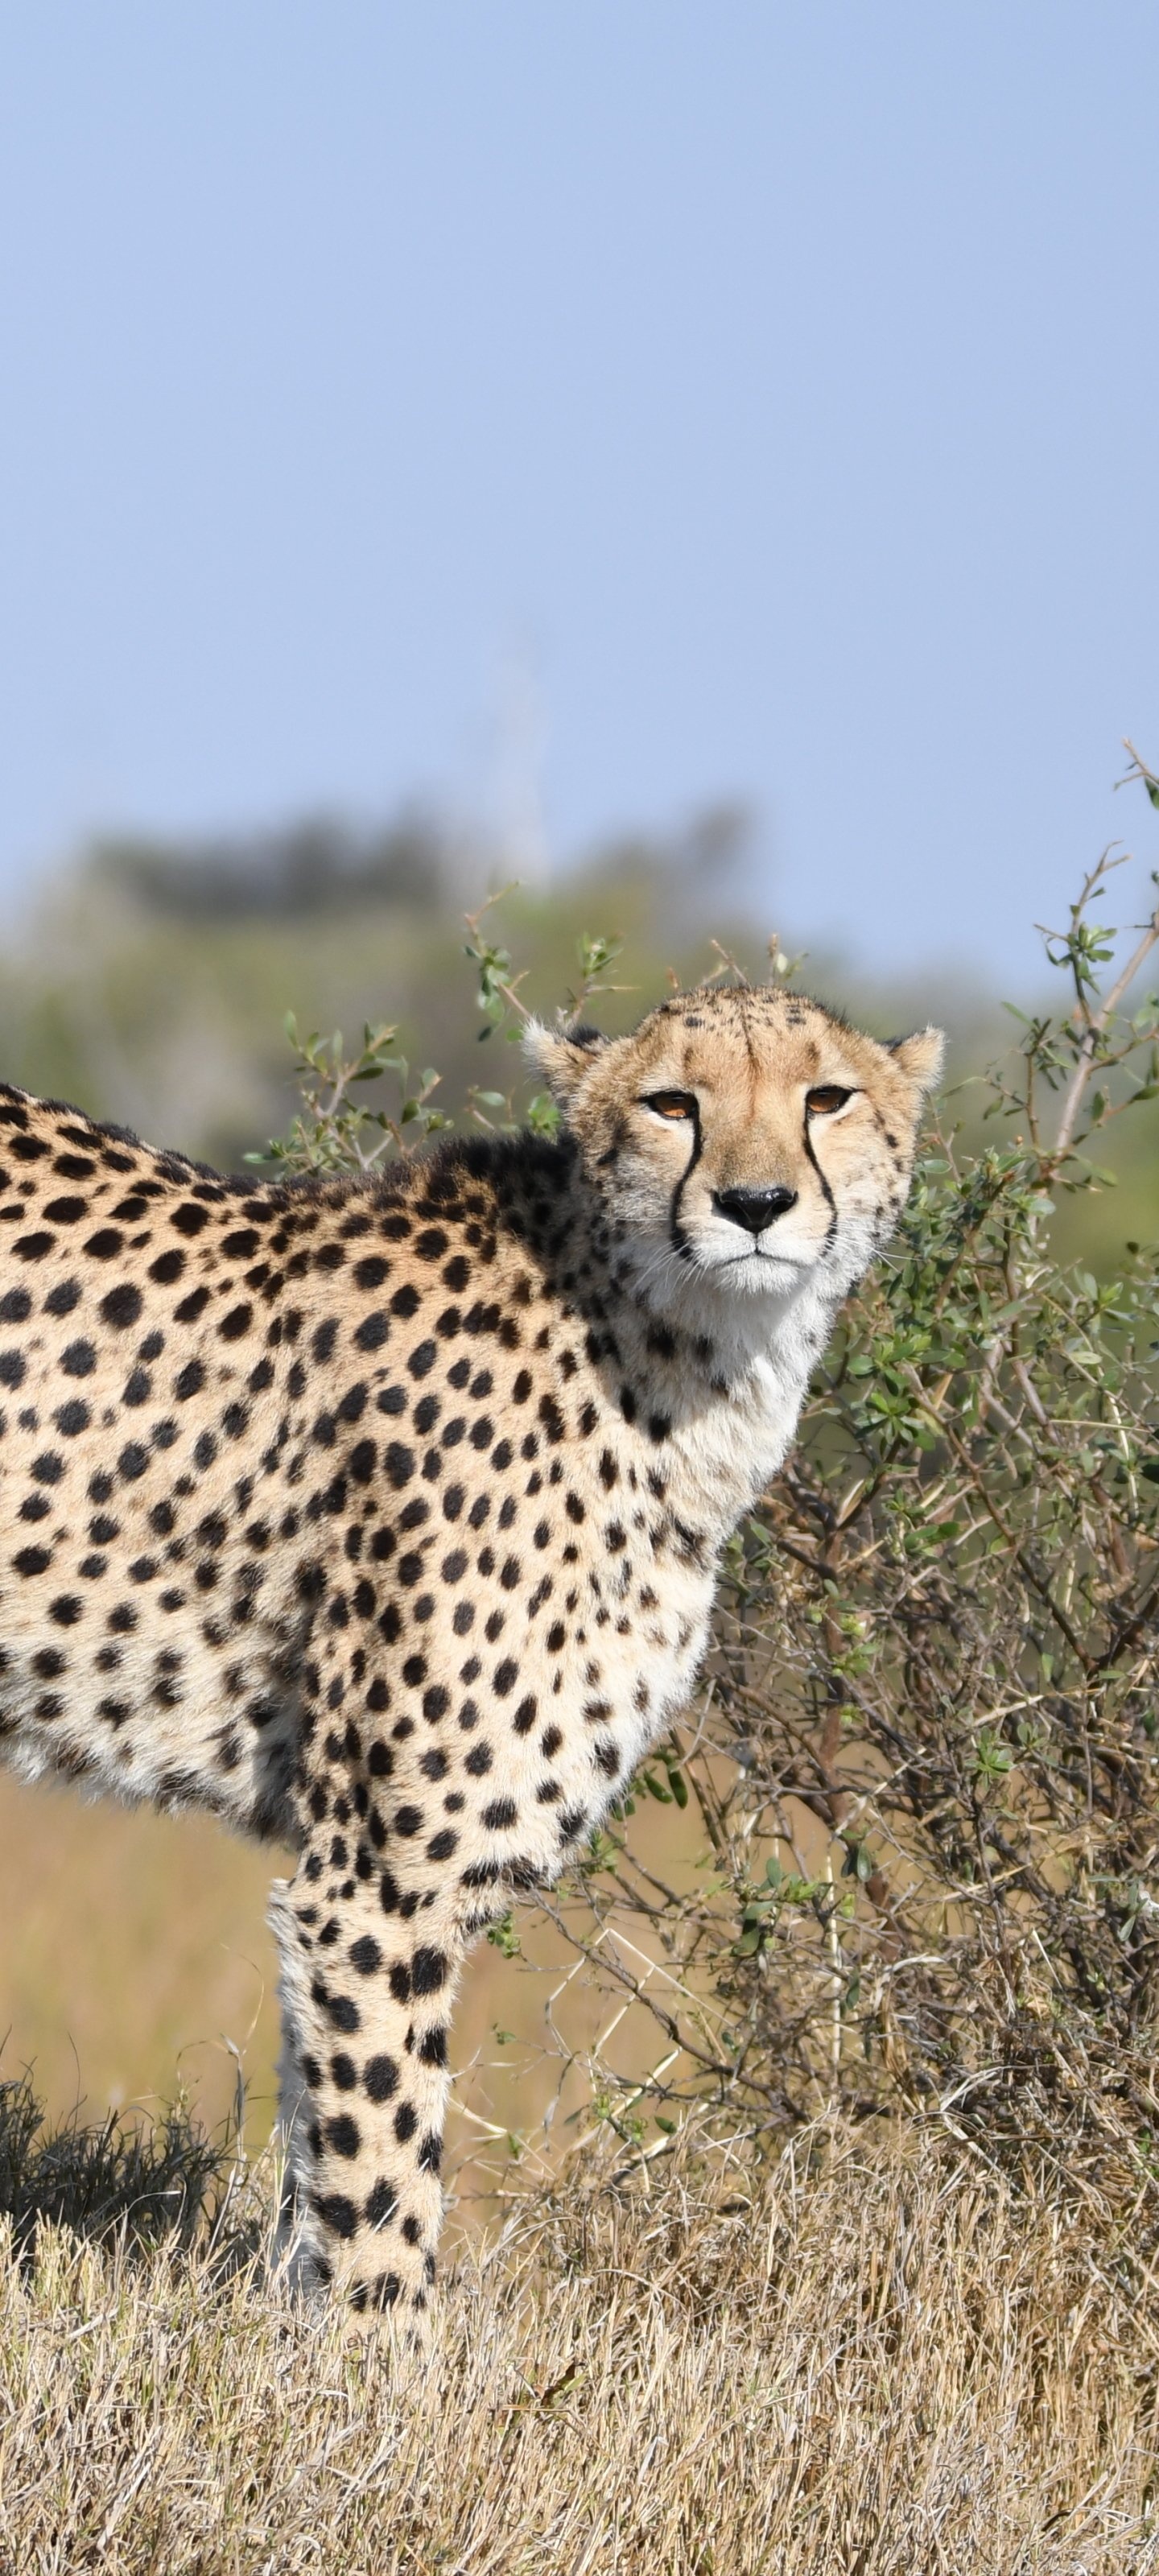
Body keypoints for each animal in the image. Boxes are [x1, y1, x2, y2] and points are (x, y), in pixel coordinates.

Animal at [0, 979, 942, 2318]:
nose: (755, 1205)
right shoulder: (380, 1884)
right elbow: (382, 2190)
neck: (672, 1349)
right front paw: (383, 2367)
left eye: (828, 1097)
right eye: (673, 1103)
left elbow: (320, 2175)